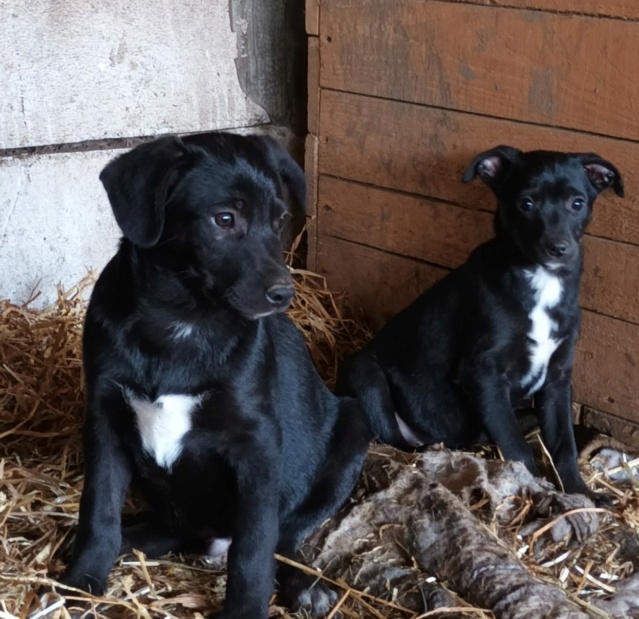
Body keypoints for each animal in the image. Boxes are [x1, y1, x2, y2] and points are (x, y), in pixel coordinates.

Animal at [59, 132, 372, 619]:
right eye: (224, 219)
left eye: (280, 220)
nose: (284, 294)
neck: (183, 321)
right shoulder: (104, 419)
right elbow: (97, 511)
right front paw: (82, 583)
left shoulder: (257, 443)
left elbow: (254, 546)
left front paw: (245, 609)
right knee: (171, 527)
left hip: (354, 428)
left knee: (286, 536)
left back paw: (305, 585)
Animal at [340, 147, 624, 504]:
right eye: (526, 203)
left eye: (577, 203)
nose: (558, 248)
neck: (541, 280)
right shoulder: (484, 374)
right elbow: (517, 448)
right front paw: (534, 488)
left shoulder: (558, 378)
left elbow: (564, 444)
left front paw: (580, 493)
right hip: (365, 372)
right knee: (400, 438)